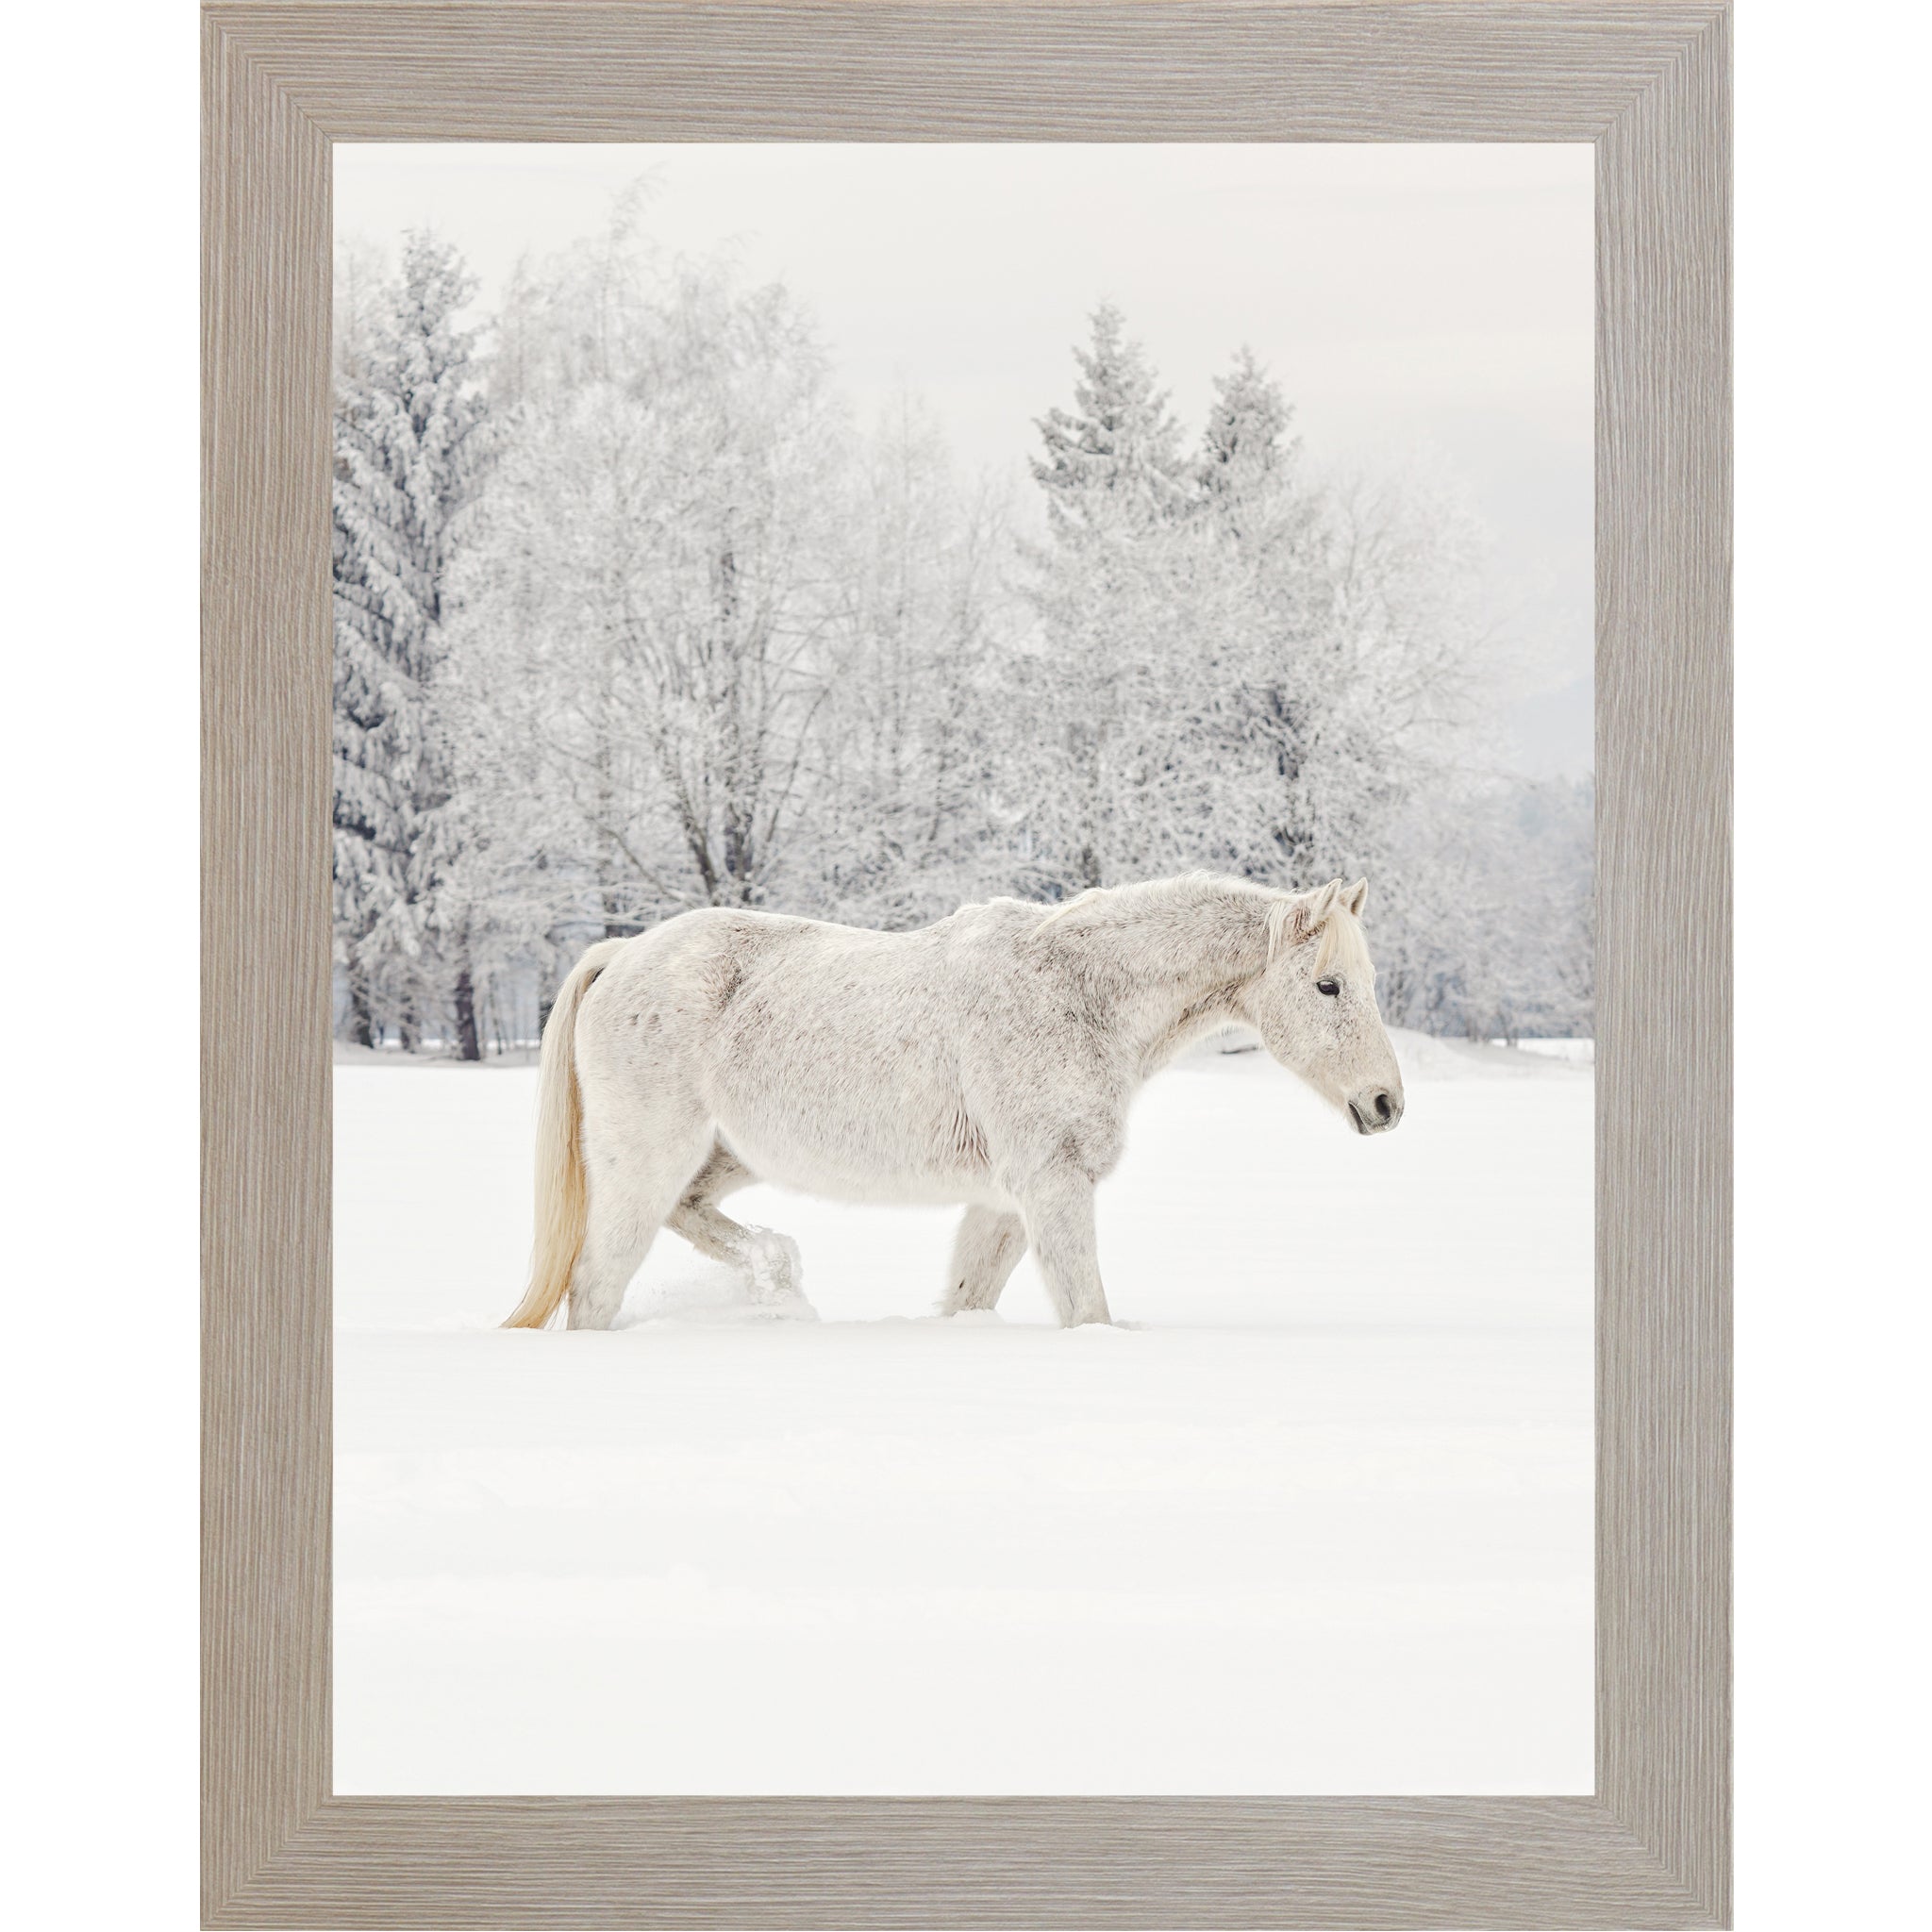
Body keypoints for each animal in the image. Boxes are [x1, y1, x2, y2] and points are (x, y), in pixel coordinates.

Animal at [501, 872, 1405, 1332]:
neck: (1077, 994)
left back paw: (778, 1277)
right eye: (1327, 985)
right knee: (595, 1285)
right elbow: (1088, 1310)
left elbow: (969, 1297)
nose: (1386, 1103)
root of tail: (622, 954)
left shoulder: (1003, 1202)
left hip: (723, 1156)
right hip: (645, 1162)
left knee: (690, 1218)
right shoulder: (1051, 1187)